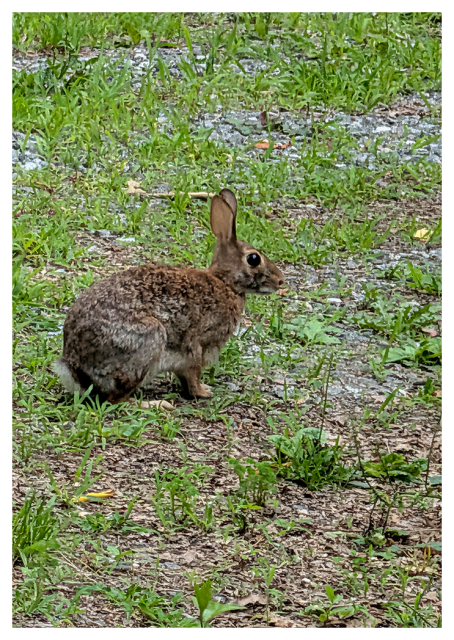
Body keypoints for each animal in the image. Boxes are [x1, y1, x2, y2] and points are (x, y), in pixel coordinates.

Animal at [52, 188, 285, 403]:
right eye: (254, 259)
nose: (281, 280)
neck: (225, 283)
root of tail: (75, 368)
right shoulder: (197, 346)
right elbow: (193, 375)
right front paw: (204, 392)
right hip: (149, 339)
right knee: (117, 399)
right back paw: (155, 404)